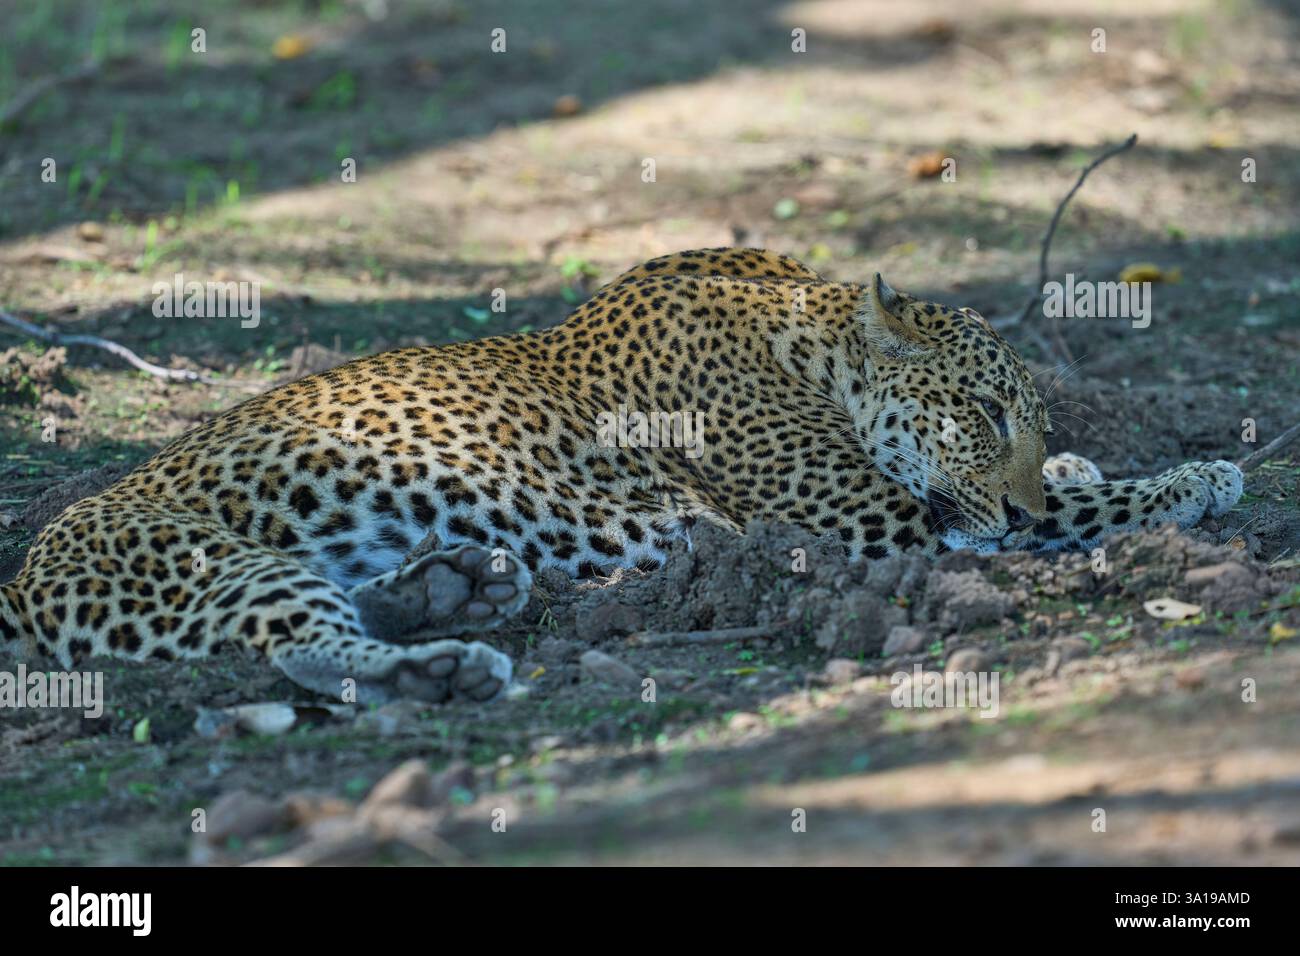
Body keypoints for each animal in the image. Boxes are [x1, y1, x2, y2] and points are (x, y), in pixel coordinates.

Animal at [0, 247, 1243, 704]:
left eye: (1023, 416)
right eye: (983, 413)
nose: (1018, 484)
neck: (807, 329)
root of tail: (23, 570)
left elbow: (1067, 488)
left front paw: (1097, 459)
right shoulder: (869, 523)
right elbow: (1063, 513)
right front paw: (1193, 478)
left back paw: (456, 584)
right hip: (214, 564)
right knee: (300, 648)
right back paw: (446, 663)